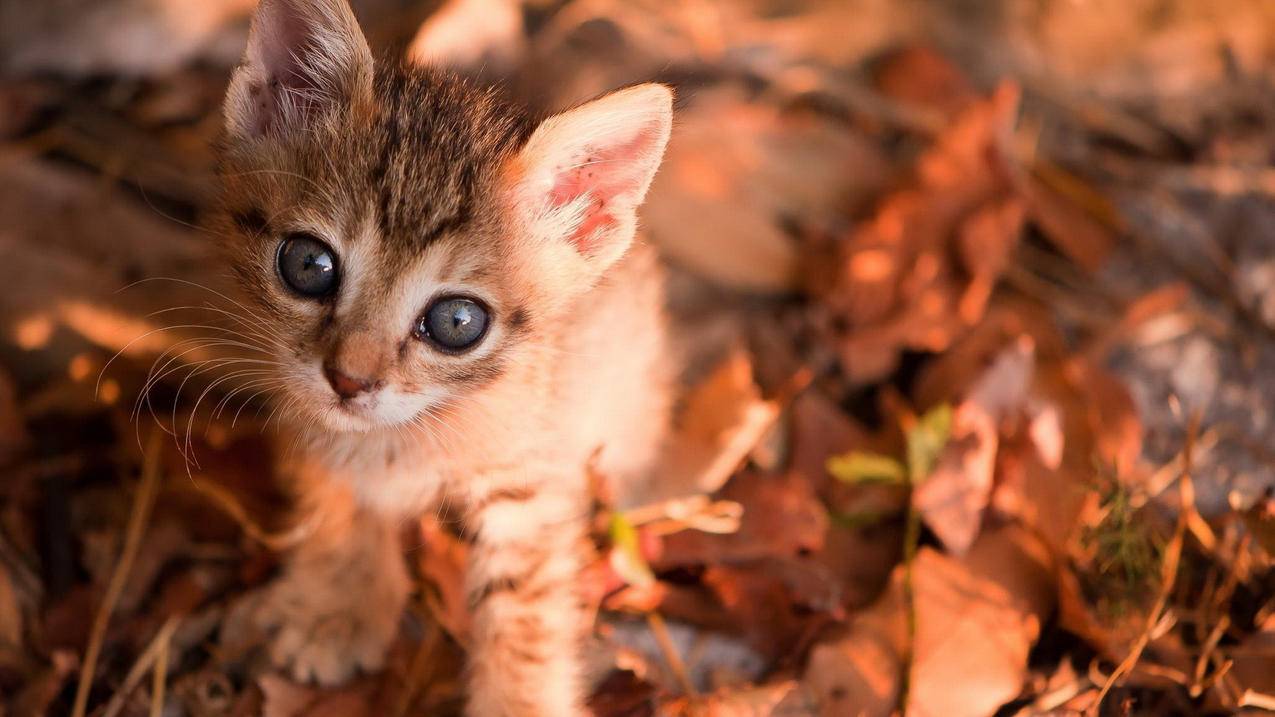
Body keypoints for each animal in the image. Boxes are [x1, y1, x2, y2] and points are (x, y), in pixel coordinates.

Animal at [214, 0, 673, 709]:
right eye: (308, 264)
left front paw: (519, 702)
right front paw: (337, 604)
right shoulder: (306, 414)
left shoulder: (533, 478)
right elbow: (337, 497)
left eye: (457, 322)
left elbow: (525, 607)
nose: (349, 379)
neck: (402, 438)